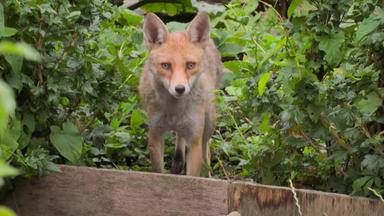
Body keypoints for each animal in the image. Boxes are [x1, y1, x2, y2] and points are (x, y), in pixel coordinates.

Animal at [138, 11, 222, 176]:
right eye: (166, 65)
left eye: (190, 65)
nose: (180, 89)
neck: (174, 112)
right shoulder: (155, 135)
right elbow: (158, 171)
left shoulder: (195, 140)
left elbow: (193, 174)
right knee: (180, 138)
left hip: (209, 123)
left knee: (206, 151)